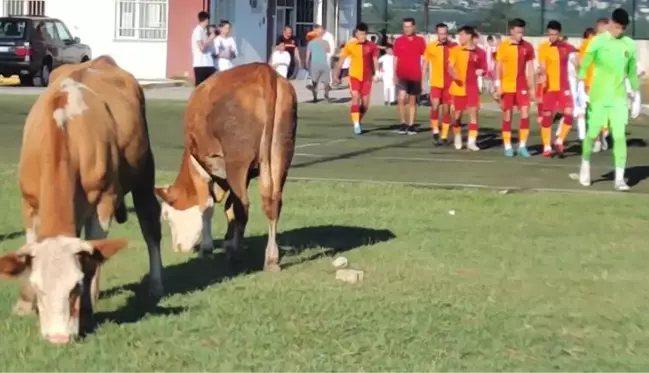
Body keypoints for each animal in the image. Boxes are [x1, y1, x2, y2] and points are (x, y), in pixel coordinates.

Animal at [0, 55, 163, 342]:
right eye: (38, 289)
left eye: (74, 287)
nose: (58, 339)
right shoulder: (28, 201)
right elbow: (28, 247)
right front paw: (24, 304)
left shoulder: (105, 200)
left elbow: (94, 254)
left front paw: (87, 307)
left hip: (144, 171)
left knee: (150, 225)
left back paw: (155, 283)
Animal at [156, 61, 298, 270]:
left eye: (166, 215)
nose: (178, 248)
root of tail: (263, 71)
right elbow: (228, 207)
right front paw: (228, 239)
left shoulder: (198, 165)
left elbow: (207, 206)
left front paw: (207, 247)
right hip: (281, 151)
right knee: (272, 202)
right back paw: (270, 258)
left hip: (236, 161)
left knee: (243, 205)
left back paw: (236, 254)